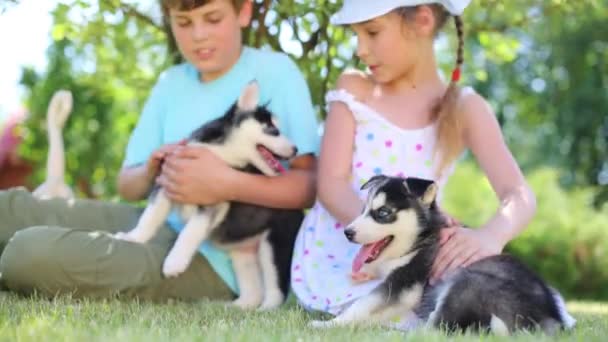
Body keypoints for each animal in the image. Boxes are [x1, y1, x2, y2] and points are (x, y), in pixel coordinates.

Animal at [116, 83, 304, 310]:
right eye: (273, 130)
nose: (296, 149)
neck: (222, 153)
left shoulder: (213, 198)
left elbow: (189, 232)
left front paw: (174, 263)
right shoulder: (166, 183)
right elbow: (150, 216)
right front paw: (134, 237)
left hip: (274, 245)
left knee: (276, 291)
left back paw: (265, 311)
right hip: (242, 253)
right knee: (253, 291)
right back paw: (237, 307)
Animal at [312, 176, 576, 334]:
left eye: (383, 213)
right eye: (363, 210)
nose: (347, 232)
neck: (421, 238)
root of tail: (547, 317)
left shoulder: (404, 282)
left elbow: (361, 304)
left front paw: (328, 324)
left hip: (465, 283)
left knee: (435, 331)